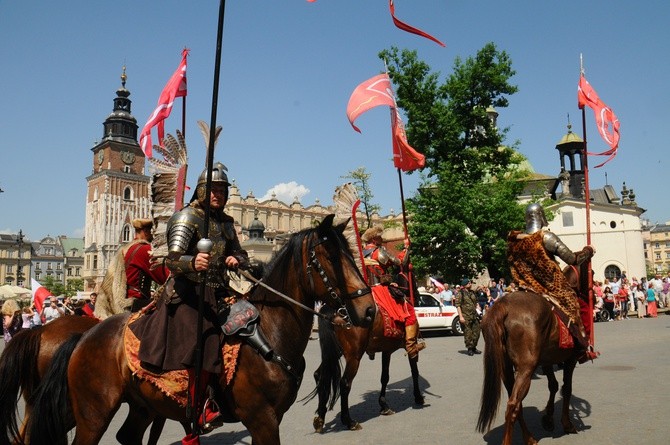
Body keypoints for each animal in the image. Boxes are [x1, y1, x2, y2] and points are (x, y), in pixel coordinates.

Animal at [27, 213, 378, 442]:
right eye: (332, 257)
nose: (369, 309)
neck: (270, 334)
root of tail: (84, 335)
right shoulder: (262, 420)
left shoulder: (273, 417)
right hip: (92, 413)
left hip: (141, 405)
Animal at [310, 268, 426, 432]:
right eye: (414, 278)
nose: (417, 295)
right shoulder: (409, 344)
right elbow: (414, 371)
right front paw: (418, 396)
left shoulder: (386, 350)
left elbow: (385, 377)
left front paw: (384, 405)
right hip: (354, 356)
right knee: (344, 383)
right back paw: (349, 421)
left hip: (333, 353)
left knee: (320, 375)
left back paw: (320, 417)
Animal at [478, 264, 592, 444]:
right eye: (591, 273)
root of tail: (502, 306)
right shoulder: (570, 359)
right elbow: (567, 388)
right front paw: (567, 424)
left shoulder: (547, 361)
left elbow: (553, 385)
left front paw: (548, 419)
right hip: (526, 368)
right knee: (513, 405)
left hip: (506, 369)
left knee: (517, 405)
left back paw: (530, 438)